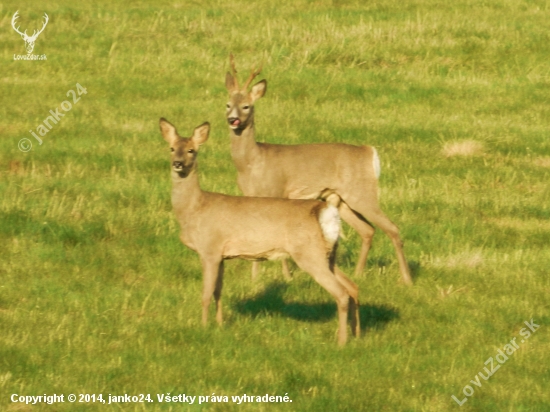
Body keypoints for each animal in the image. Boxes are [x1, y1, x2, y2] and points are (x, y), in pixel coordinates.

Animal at [160, 117, 362, 346]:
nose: (177, 164)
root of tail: (324, 211)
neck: (194, 209)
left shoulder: (209, 249)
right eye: (172, 148)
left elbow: (205, 293)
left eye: (191, 150)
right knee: (353, 287)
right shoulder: (221, 255)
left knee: (341, 293)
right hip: (327, 254)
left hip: (309, 254)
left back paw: (341, 341)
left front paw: (203, 328)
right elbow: (218, 291)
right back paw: (357, 334)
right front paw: (219, 325)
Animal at [225, 54, 414, 286]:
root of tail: (368, 151)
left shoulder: (277, 192)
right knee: (368, 230)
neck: (252, 162)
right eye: (227, 104)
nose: (232, 120)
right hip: (340, 198)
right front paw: (256, 278)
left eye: (246, 106)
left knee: (392, 228)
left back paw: (407, 279)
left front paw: (285, 277)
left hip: (362, 192)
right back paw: (358, 274)